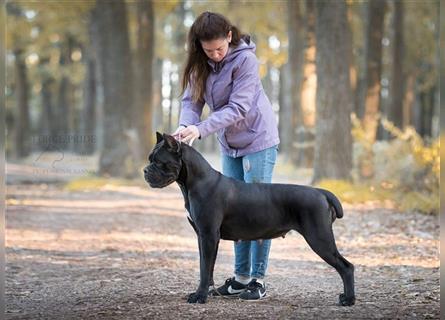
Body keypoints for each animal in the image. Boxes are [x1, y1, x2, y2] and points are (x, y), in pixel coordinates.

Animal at [144, 133, 356, 308]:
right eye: (150, 159)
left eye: (159, 161)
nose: (145, 170)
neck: (194, 182)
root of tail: (321, 192)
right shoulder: (202, 237)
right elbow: (206, 267)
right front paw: (206, 292)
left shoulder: (209, 235)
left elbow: (205, 269)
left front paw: (200, 296)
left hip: (319, 238)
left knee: (346, 267)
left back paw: (348, 300)